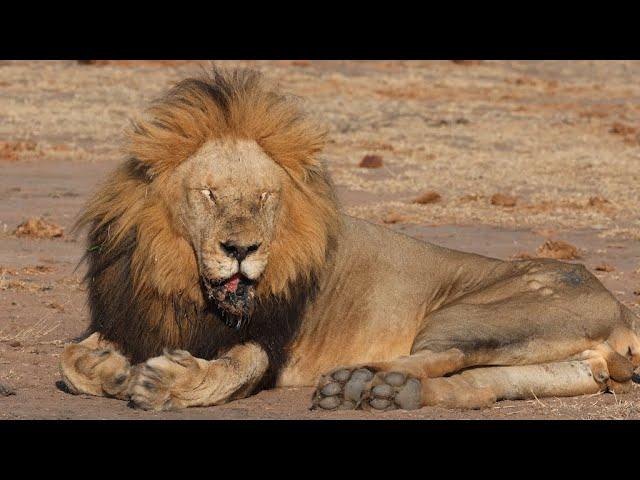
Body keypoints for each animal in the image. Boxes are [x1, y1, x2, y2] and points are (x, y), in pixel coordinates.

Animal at [57, 66, 636, 412]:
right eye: (210, 193)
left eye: (265, 196)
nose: (241, 251)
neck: (179, 280)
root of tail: (619, 308)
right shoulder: (123, 315)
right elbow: (69, 359)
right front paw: (108, 368)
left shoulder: (271, 341)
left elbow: (239, 369)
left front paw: (163, 382)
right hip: (555, 365)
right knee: (479, 386)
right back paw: (385, 393)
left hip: (471, 316)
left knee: (439, 355)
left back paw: (353, 380)